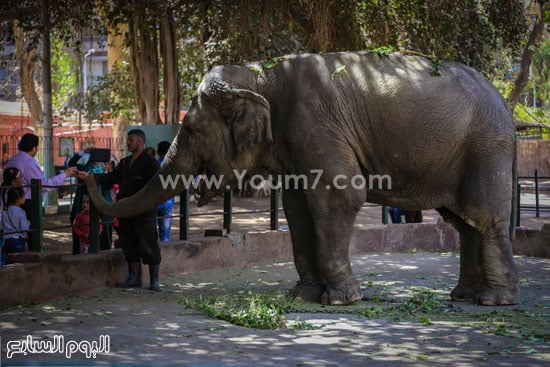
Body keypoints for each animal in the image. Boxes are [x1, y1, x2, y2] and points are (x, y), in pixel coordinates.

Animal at [84, 50, 520, 306]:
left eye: (189, 129)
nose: (85, 169)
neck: (260, 74)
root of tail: (502, 100)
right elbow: (297, 209)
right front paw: (302, 295)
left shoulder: (316, 123)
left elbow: (341, 197)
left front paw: (340, 300)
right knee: (463, 223)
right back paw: (464, 296)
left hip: (486, 147)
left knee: (485, 219)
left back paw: (495, 302)